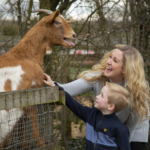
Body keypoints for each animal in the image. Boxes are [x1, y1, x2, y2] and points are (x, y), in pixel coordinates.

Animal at [0, 9, 75, 149]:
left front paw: (26, 143)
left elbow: (23, 120)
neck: (25, 55)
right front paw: (40, 142)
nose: (74, 35)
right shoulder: (24, 94)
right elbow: (32, 115)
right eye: (57, 22)